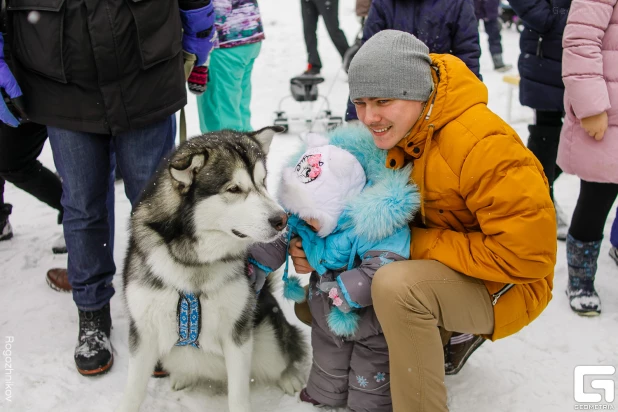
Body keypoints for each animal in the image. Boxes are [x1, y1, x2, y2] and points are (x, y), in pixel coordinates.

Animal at [115, 126, 306, 412]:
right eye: (234, 188)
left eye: (263, 182)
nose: (282, 219)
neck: (194, 262)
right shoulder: (144, 333)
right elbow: (132, 393)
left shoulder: (237, 335)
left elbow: (238, 397)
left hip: (268, 338)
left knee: (286, 353)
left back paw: (289, 377)